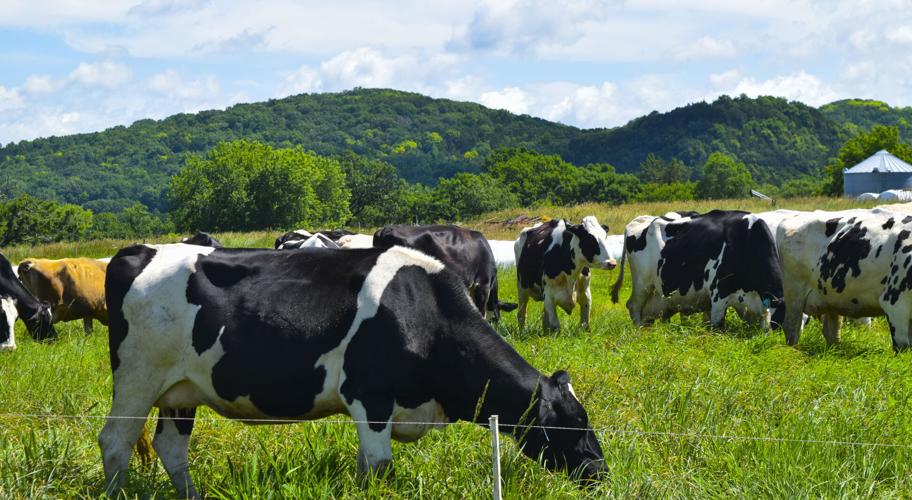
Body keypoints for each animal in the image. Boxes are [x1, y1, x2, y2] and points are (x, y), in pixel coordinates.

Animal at [99, 243, 606, 497]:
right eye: (575, 422)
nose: (602, 473)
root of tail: (137, 249)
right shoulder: (370, 395)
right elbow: (380, 466)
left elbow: (368, 468)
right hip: (136, 377)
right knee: (115, 442)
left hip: (180, 390)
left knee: (170, 447)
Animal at [777, 209, 912, 349]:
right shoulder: (895, 304)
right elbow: (903, 345)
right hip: (794, 293)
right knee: (792, 327)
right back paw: (793, 350)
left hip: (830, 297)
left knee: (831, 331)